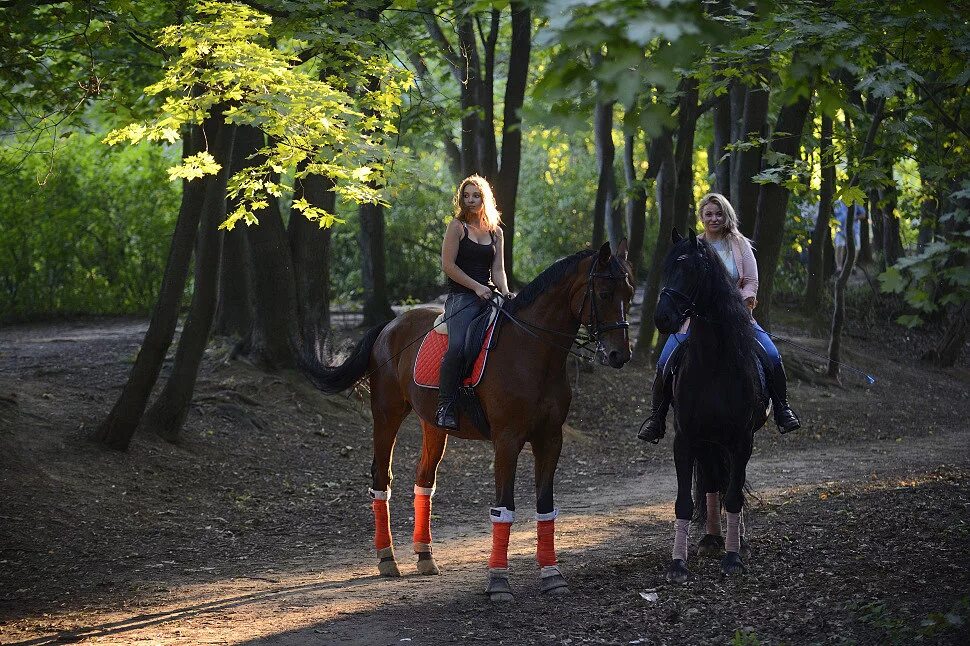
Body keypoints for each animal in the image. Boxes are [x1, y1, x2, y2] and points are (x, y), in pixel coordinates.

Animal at [304, 242, 636, 604]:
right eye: (604, 294)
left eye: (630, 294)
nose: (620, 355)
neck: (532, 351)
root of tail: (390, 326)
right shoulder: (507, 441)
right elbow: (503, 509)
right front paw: (499, 583)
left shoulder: (550, 439)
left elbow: (546, 507)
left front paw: (552, 576)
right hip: (387, 414)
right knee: (381, 478)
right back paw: (387, 558)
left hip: (433, 425)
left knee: (425, 480)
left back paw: (425, 556)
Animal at [656, 230, 768, 584]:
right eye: (665, 268)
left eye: (691, 270)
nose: (661, 318)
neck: (713, 364)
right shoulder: (686, 439)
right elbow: (684, 502)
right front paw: (678, 564)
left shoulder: (742, 440)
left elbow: (734, 496)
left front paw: (733, 558)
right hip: (708, 442)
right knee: (712, 482)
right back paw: (710, 538)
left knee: (731, 485)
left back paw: (736, 541)